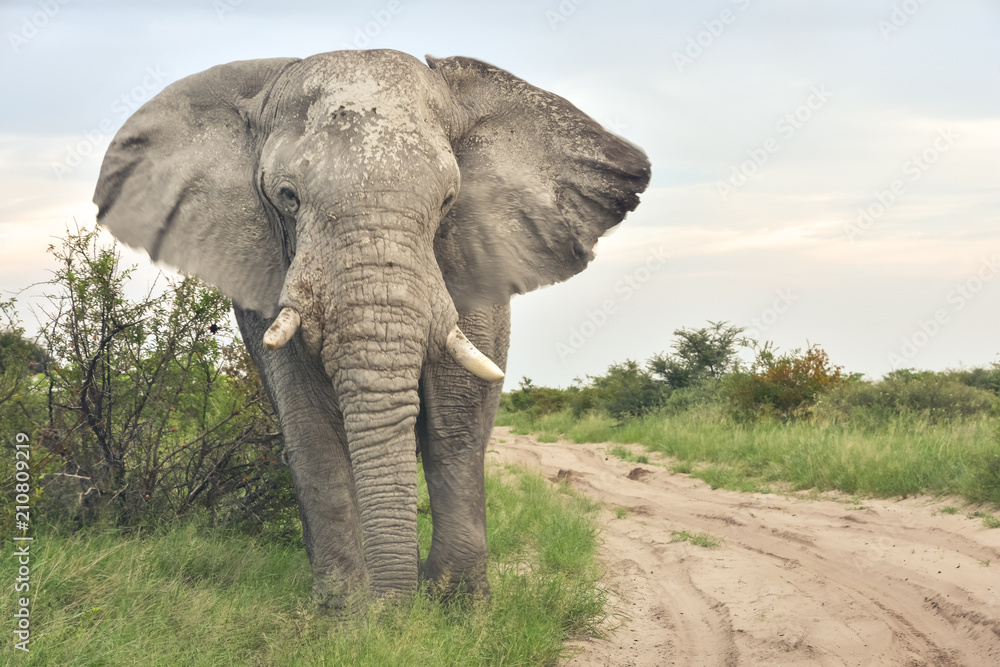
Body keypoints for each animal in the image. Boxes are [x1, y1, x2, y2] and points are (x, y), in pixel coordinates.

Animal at [93, 49, 650, 605]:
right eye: (287, 196)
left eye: (449, 200)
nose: (394, 610)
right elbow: (308, 423)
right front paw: (345, 614)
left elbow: (456, 420)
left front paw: (458, 607)